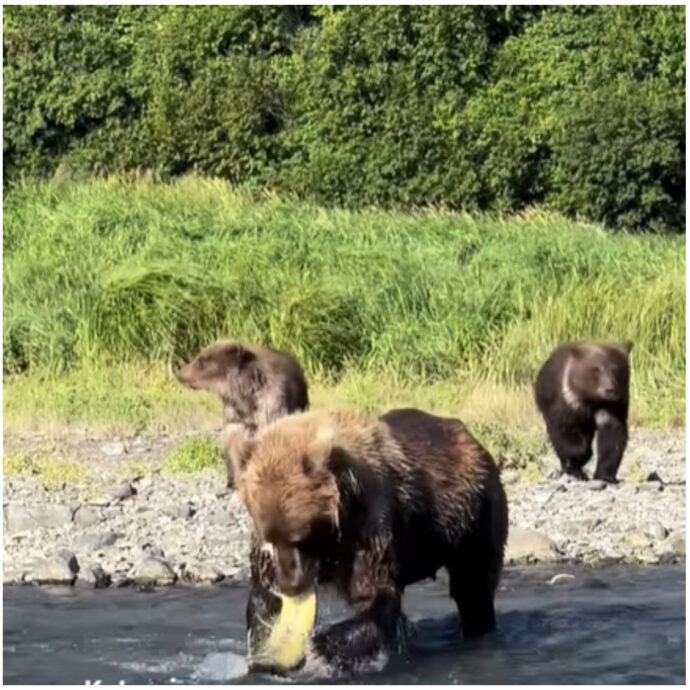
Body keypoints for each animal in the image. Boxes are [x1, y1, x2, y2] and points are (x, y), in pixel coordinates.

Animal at [175, 342, 310, 486]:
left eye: (200, 361)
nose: (179, 374)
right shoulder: (236, 416)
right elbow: (234, 446)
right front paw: (235, 479)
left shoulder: (271, 405)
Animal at [231, 406, 506, 668]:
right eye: (271, 540)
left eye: (301, 538)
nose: (290, 584)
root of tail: (471, 439)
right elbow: (263, 595)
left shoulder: (370, 525)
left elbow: (373, 594)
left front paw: (323, 643)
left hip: (473, 518)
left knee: (473, 586)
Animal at [536, 340, 632, 482]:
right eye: (597, 369)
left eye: (616, 368)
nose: (610, 389)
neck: (591, 399)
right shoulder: (567, 400)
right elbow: (563, 431)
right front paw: (579, 455)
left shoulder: (612, 407)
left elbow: (613, 437)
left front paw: (605, 475)